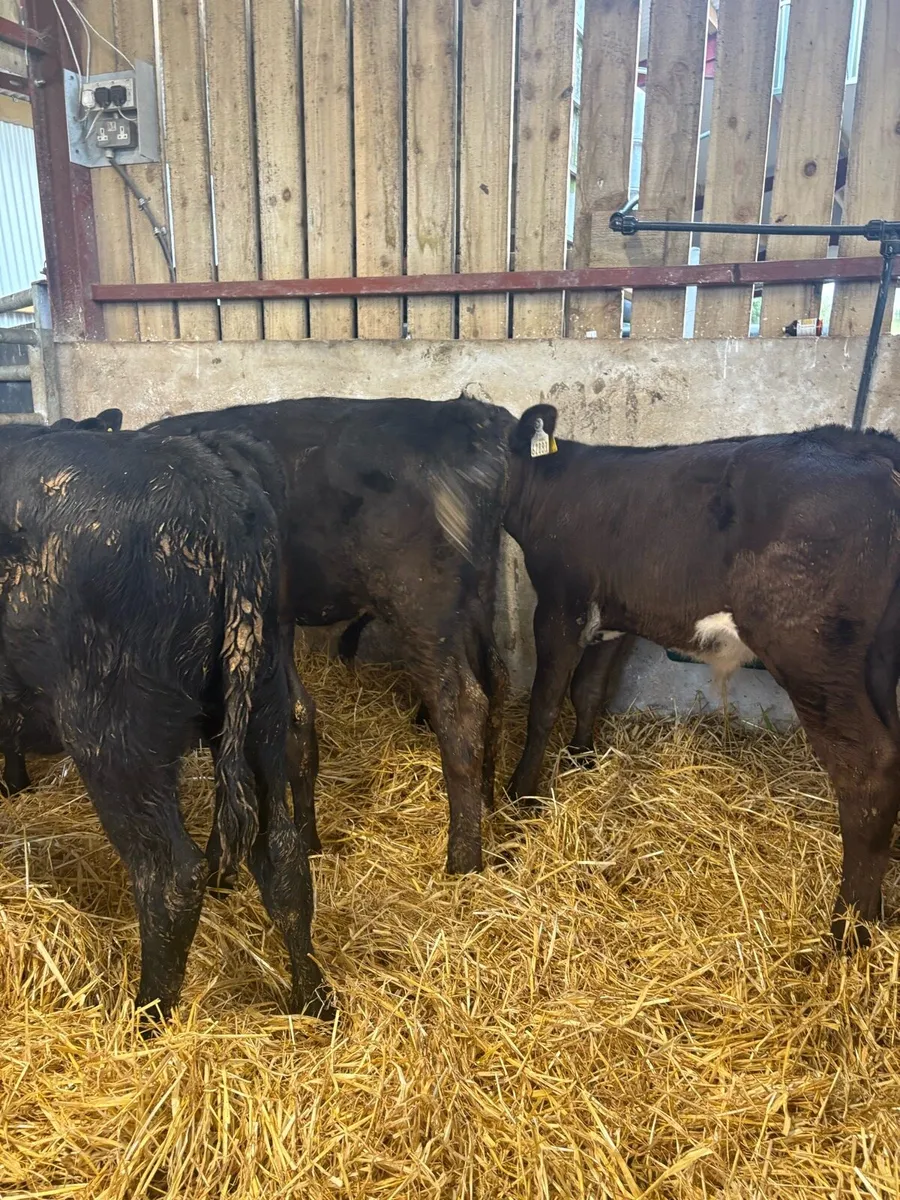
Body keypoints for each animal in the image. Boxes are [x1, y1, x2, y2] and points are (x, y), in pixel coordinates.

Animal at [0, 426, 332, 1024]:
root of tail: (208, 480)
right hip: (262, 710)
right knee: (282, 856)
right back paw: (314, 1001)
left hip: (114, 737)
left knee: (171, 876)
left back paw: (146, 1019)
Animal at [145, 396, 514, 875]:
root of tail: (461, 414)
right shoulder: (274, 621)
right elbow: (296, 720)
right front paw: (305, 842)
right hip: (476, 596)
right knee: (497, 678)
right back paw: (488, 805)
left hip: (421, 607)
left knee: (462, 708)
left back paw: (464, 859)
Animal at [503, 404, 900, 950]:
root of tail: (870, 447)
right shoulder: (617, 614)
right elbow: (589, 690)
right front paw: (582, 759)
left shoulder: (560, 605)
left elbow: (545, 701)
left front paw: (521, 793)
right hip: (877, 660)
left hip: (813, 654)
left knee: (869, 768)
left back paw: (847, 930)